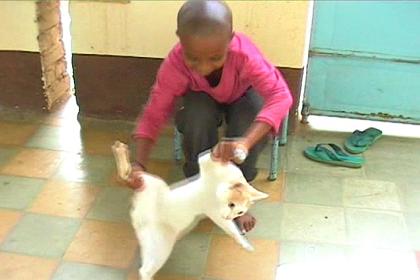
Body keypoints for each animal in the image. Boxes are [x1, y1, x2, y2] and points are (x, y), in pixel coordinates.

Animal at [111, 141, 268, 280]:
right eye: (231, 205)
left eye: (240, 212)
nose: (230, 217)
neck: (218, 185)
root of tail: (139, 216)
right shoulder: (206, 162)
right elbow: (209, 156)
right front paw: (231, 151)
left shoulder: (217, 215)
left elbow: (232, 230)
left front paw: (244, 243)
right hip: (153, 183)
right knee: (126, 175)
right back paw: (120, 151)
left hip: (161, 246)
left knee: (145, 270)